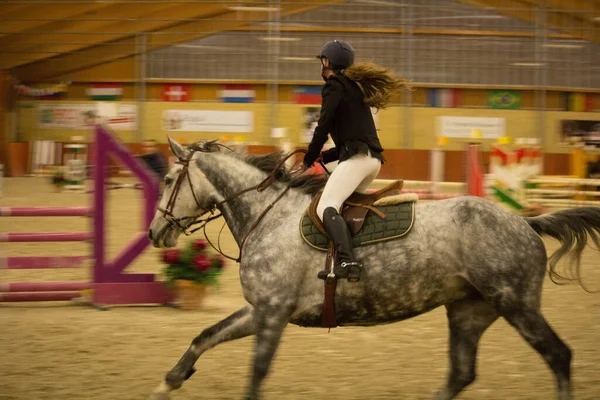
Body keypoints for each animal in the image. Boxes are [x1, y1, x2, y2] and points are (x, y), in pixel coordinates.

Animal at [146, 138, 600, 400]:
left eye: (168, 180)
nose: (154, 233)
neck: (267, 216)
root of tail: (526, 222)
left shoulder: (273, 314)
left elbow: (256, 375)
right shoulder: (261, 310)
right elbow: (205, 337)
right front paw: (168, 381)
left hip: (516, 304)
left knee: (558, 356)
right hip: (469, 311)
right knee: (461, 373)